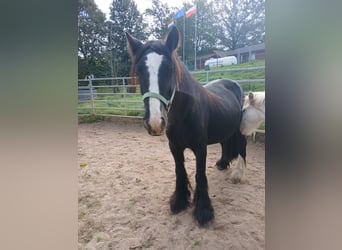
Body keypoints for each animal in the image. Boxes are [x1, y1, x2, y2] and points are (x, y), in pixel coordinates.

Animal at [125, 26, 246, 226]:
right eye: (140, 70)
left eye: (169, 69)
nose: (155, 123)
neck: (185, 112)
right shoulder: (174, 147)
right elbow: (179, 171)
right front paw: (180, 201)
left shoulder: (200, 148)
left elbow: (200, 175)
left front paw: (203, 211)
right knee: (225, 143)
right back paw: (223, 163)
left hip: (241, 129)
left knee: (242, 148)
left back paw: (238, 175)